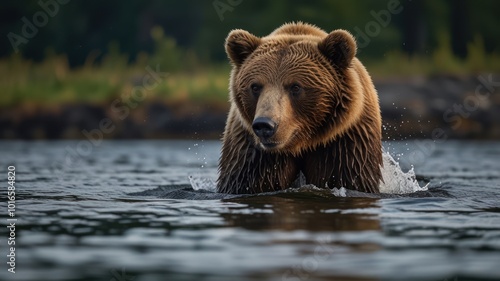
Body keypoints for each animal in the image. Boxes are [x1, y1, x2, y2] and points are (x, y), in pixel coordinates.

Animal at [216, 22, 382, 192]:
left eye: (295, 87)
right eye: (255, 86)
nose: (264, 125)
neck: (300, 144)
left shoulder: (344, 144)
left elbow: (348, 177)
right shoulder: (252, 152)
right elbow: (247, 180)